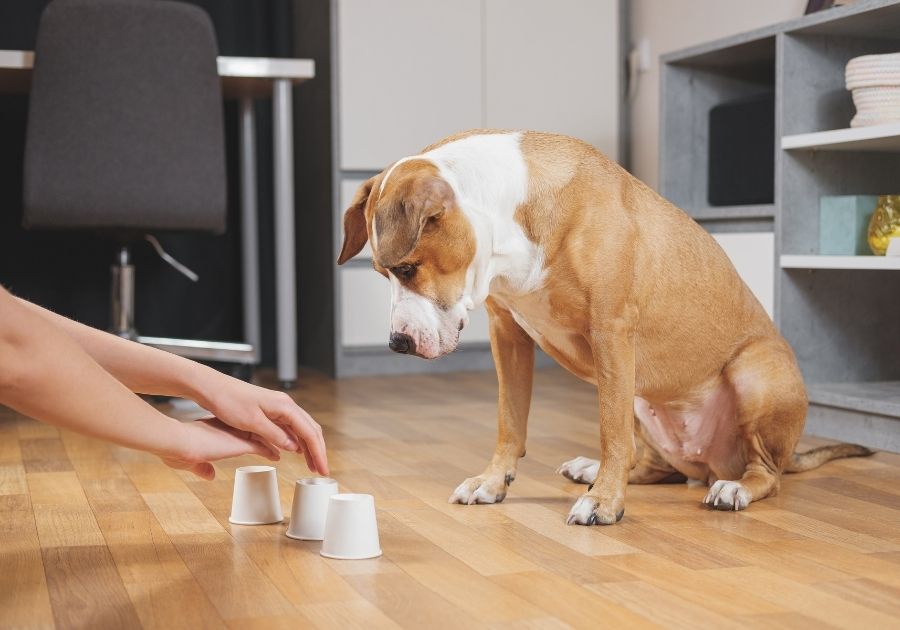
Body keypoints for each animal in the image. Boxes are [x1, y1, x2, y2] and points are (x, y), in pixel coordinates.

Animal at [338, 131, 872, 524]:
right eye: (382, 273)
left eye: (407, 269)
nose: (397, 342)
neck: (513, 215)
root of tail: (711, 464)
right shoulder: (507, 334)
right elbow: (510, 421)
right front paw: (492, 482)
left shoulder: (610, 332)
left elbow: (610, 431)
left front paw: (604, 503)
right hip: (644, 397)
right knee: (655, 466)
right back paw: (591, 471)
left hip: (755, 373)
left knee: (766, 474)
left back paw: (732, 489)